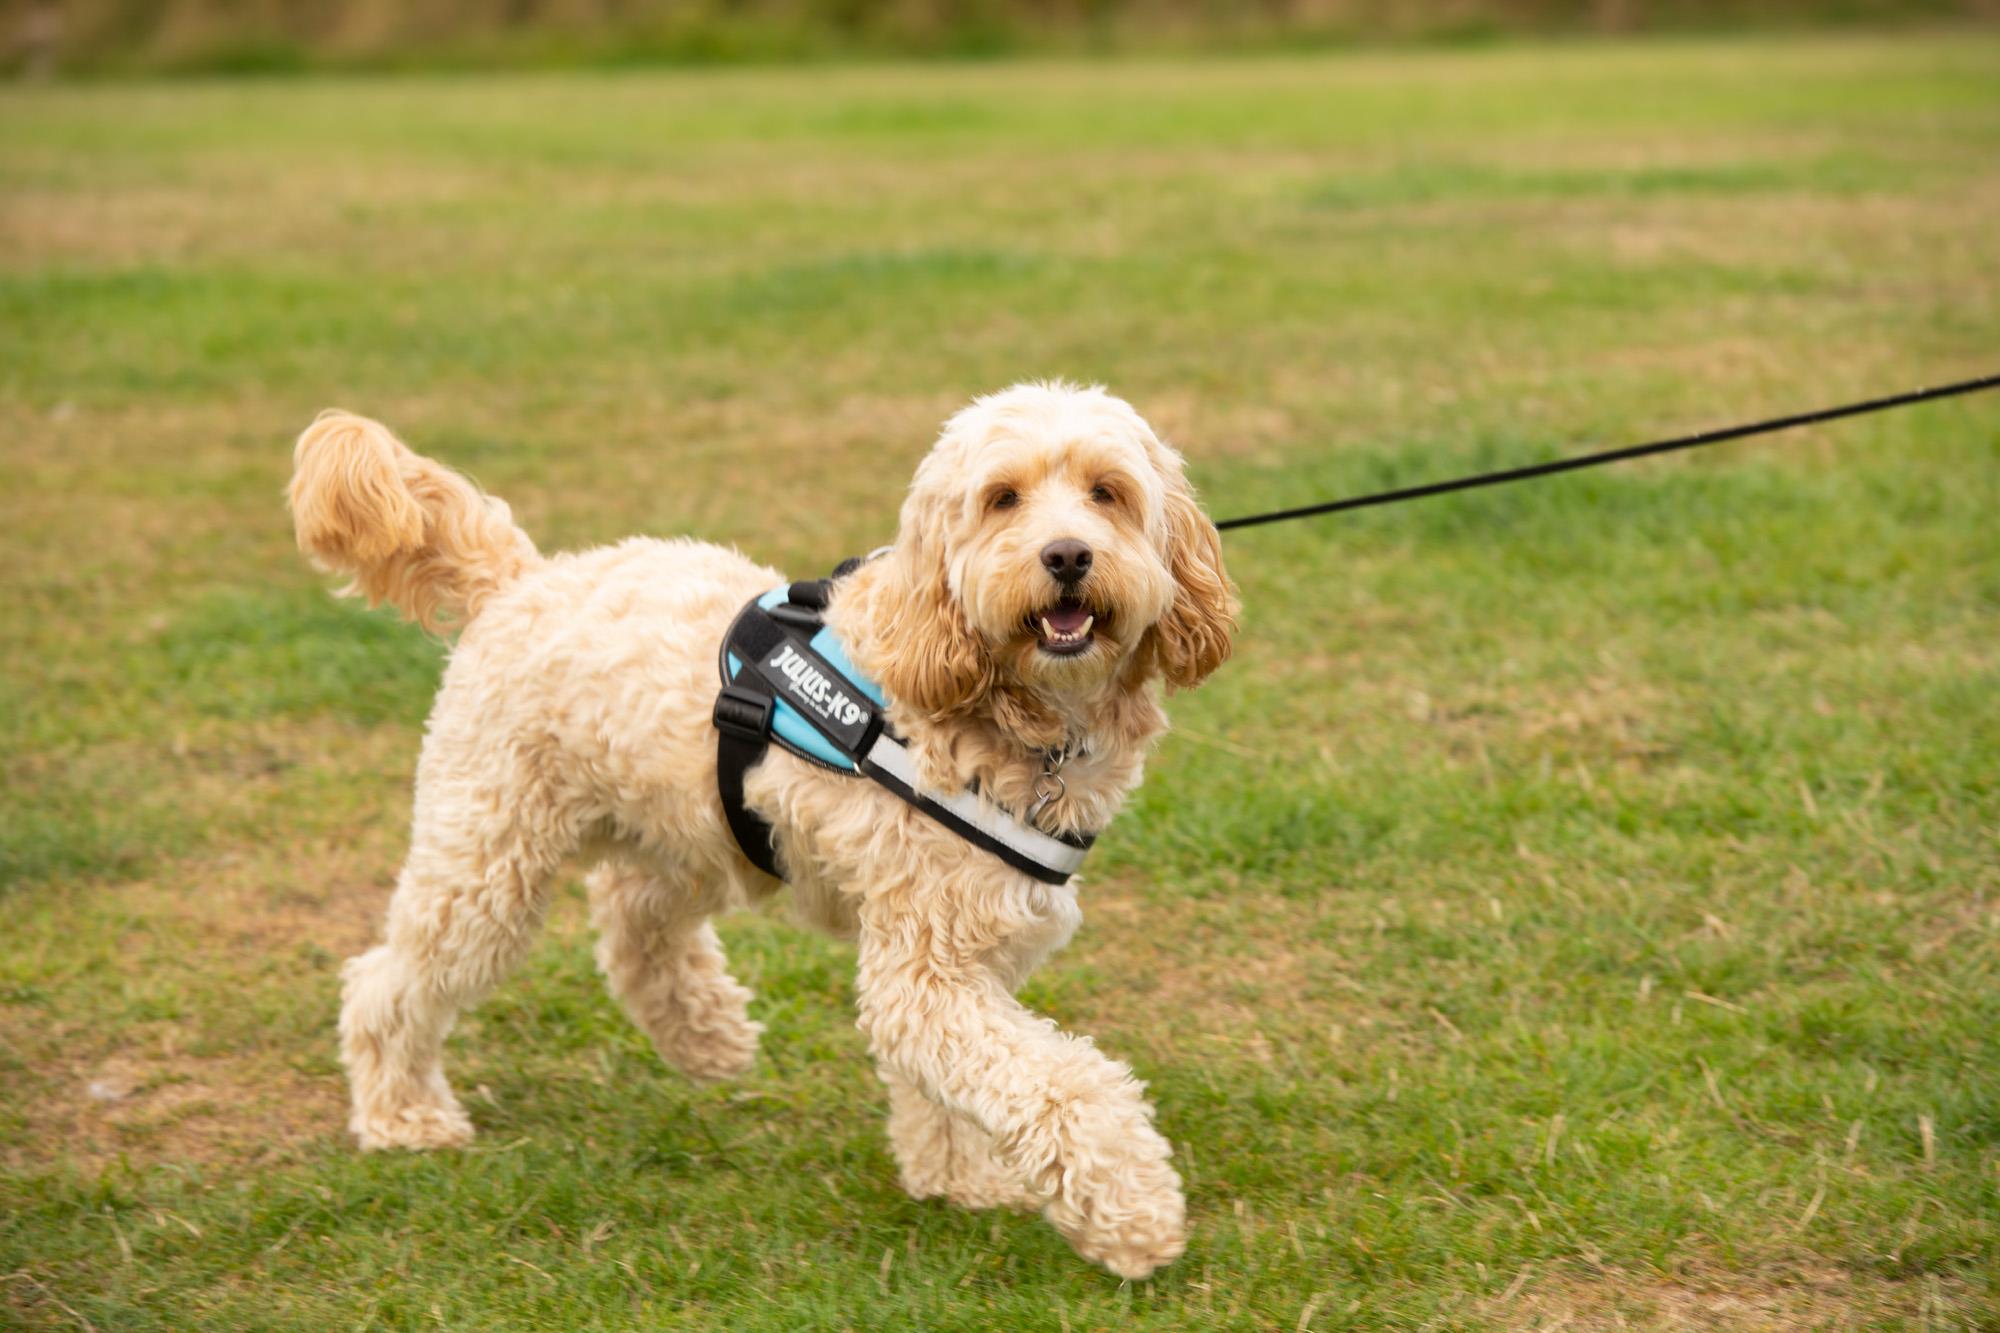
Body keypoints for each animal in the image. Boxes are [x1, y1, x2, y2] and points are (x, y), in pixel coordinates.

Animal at [292, 378, 1240, 1272]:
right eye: (1003, 498)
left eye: (1107, 491)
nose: (1068, 554)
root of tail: (518, 579)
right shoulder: (926, 969)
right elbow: (1063, 1084)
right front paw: (1135, 1214)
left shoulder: (965, 950)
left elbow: (954, 1084)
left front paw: (956, 1178)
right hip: (490, 854)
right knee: (389, 979)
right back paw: (404, 1113)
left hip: (685, 827)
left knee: (630, 917)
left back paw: (705, 1036)